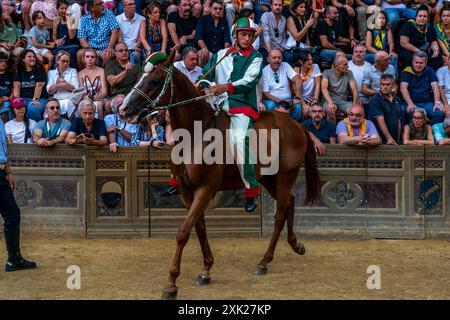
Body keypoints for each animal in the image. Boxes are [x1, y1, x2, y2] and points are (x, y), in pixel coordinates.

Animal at [122, 53, 320, 300]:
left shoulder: (205, 190)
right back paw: (295, 245)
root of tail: (297, 125)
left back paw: (264, 262)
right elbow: (199, 228)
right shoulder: (188, 192)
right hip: (268, 178)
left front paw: (171, 284)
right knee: (290, 203)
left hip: (285, 177)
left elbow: (183, 232)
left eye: (155, 80)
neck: (197, 133)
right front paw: (206, 269)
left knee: (280, 214)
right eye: (140, 76)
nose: (125, 108)